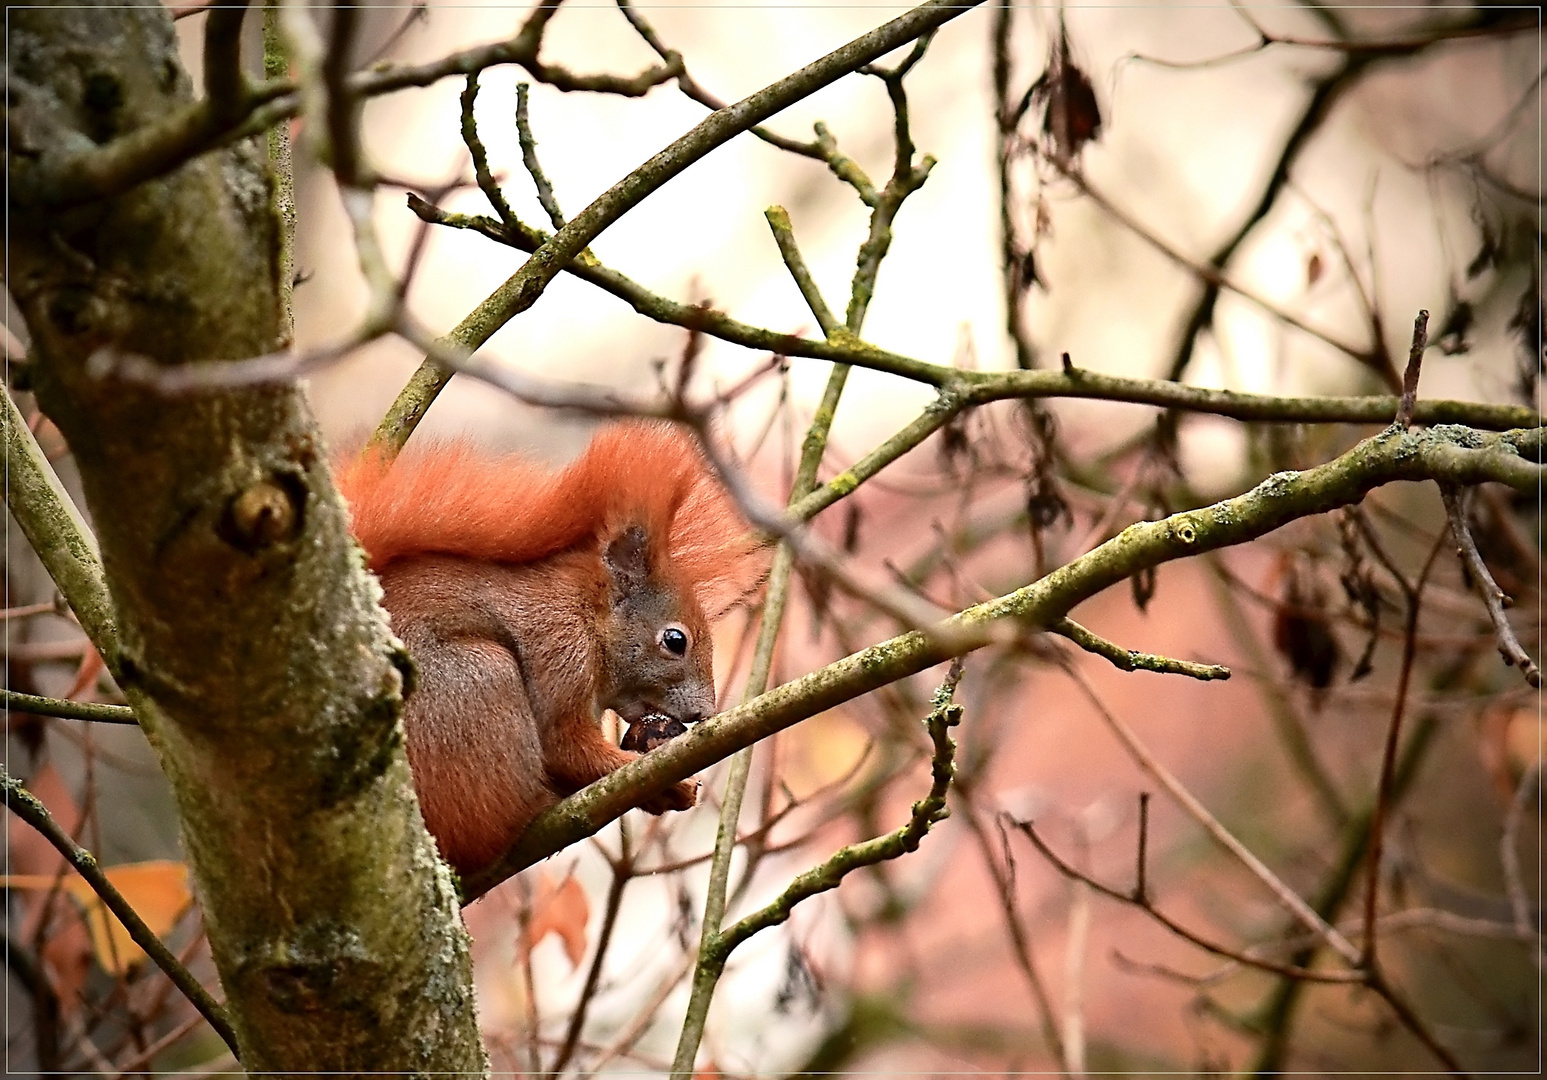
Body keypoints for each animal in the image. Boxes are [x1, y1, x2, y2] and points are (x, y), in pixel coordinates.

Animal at [335, 420, 758, 872]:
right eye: (675, 640)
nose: (705, 712)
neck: (587, 613)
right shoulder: (560, 646)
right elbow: (565, 746)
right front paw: (664, 784)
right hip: (477, 683)